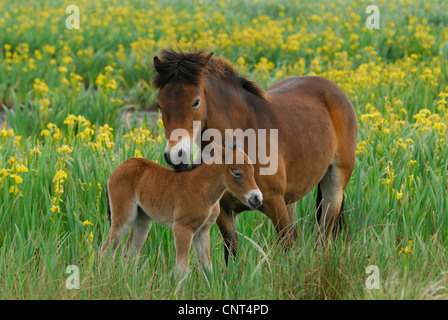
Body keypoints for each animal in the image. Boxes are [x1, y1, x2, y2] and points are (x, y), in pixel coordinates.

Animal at [101, 146, 262, 274]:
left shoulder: (202, 232)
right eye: (236, 172)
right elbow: (182, 269)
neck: (201, 189)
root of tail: (115, 171)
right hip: (124, 217)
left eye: (253, 170)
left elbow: (207, 267)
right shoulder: (182, 228)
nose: (257, 199)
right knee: (107, 250)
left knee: (130, 252)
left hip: (143, 220)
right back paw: (106, 281)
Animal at [152, 49, 358, 262]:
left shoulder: (275, 203)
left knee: (324, 234)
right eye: (159, 105)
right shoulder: (225, 212)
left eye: (196, 102)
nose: (176, 156)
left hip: (334, 187)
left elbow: (286, 246)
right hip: (291, 200)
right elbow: (232, 255)